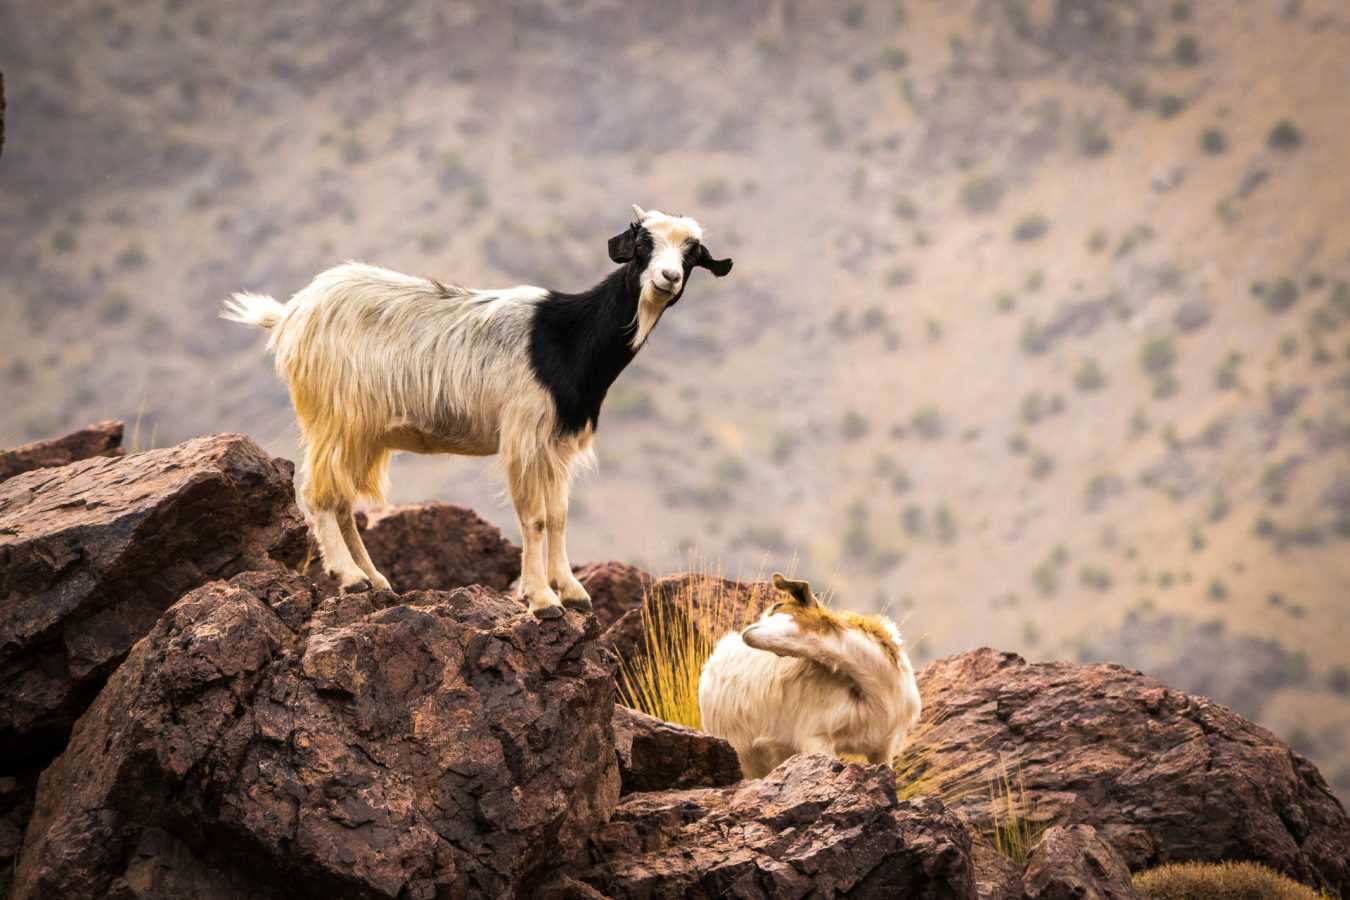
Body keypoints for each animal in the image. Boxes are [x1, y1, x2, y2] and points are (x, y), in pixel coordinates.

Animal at [223, 204, 732, 617]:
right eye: (643, 245)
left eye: (692, 254)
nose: (668, 278)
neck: (568, 336)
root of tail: (290, 314)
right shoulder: (524, 434)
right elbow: (535, 518)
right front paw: (542, 599)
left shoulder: (557, 442)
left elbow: (559, 515)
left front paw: (571, 591)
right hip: (334, 418)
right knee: (317, 493)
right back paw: (349, 578)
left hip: (361, 432)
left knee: (342, 499)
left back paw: (376, 581)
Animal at [698, 573, 922, 778]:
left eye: (778, 606)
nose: (747, 632)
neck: (875, 685)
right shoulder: (816, 736)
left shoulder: (884, 746)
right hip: (744, 752)